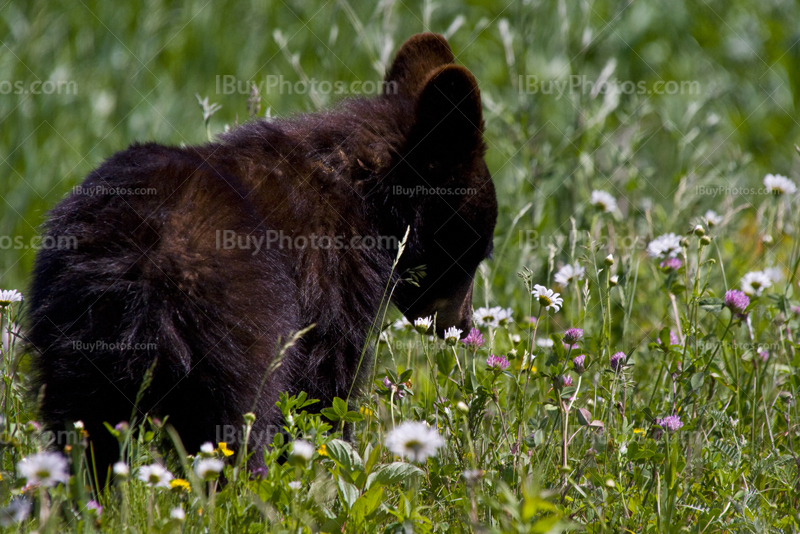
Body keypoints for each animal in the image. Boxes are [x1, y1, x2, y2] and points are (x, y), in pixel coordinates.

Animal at [25, 32, 494, 478]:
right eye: (481, 250)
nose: (465, 326)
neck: (369, 196)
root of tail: (136, 259)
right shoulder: (331, 281)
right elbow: (323, 387)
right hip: (234, 321)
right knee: (235, 416)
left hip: (75, 328)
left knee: (84, 428)